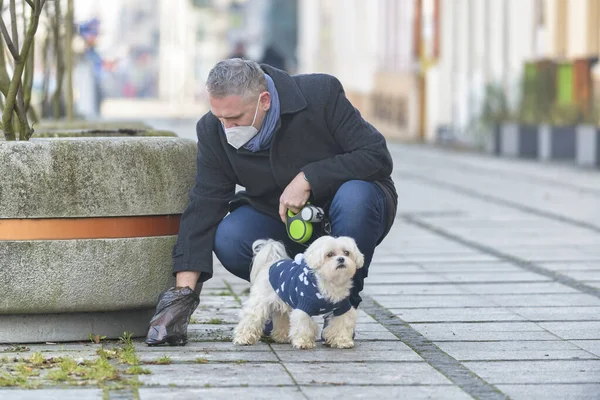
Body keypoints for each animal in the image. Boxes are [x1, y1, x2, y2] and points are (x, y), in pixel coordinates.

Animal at [233, 236, 366, 348]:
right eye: (330, 254)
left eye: (346, 253)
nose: (341, 259)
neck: (329, 283)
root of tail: (271, 262)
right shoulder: (304, 306)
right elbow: (303, 325)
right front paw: (304, 342)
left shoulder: (342, 307)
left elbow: (342, 324)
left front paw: (342, 341)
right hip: (260, 301)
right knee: (251, 318)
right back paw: (243, 338)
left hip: (284, 301)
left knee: (281, 317)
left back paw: (282, 337)